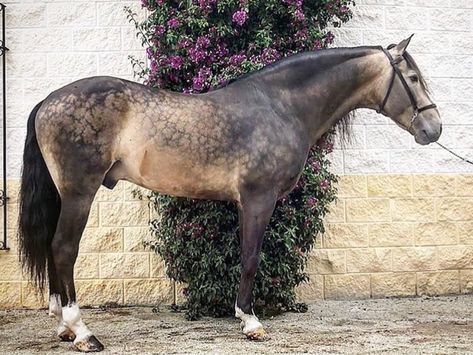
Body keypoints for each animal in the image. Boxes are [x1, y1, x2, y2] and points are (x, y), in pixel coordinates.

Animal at [17, 36, 438, 354]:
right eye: (413, 78)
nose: (433, 128)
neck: (281, 106)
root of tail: (48, 100)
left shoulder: (244, 203)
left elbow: (245, 255)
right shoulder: (258, 199)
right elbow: (251, 257)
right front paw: (250, 322)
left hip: (64, 196)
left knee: (54, 248)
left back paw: (62, 326)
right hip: (79, 193)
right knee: (63, 249)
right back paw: (82, 332)